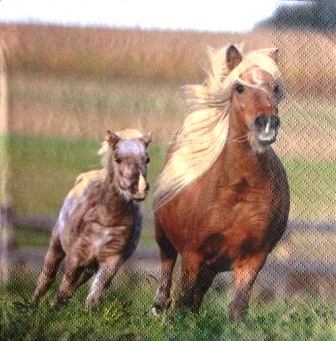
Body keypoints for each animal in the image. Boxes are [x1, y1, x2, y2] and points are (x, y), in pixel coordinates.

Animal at [31, 129, 152, 306]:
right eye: (118, 158)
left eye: (147, 159)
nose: (140, 188)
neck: (107, 220)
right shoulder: (76, 258)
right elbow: (64, 288)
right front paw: (52, 308)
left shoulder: (111, 262)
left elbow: (93, 297)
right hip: (57, 245)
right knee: (47, 278)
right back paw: (32, 305)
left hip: (91, 266)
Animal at [154, 45, 290, 322]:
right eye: (239, 87)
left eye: (274, 88)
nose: (266, 123)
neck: (238, 189)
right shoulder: (192, 254)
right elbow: (183, 299)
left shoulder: (253, 258)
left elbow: (237, 308)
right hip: (165, 241)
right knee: (167, 273)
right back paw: (159, 307)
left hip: (213, 265)